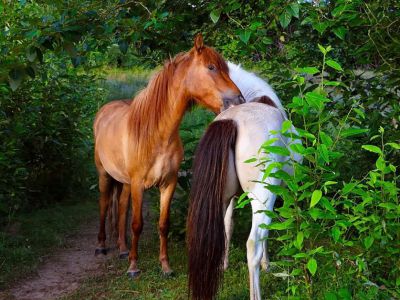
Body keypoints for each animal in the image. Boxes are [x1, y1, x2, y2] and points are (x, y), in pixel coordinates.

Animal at [94, 34, 244, 276]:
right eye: (211, 67)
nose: (238, 101)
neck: (157, 135)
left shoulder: (168, 183)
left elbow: (163, 224)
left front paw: (165, 266)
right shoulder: (138, 184)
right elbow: (137, 224)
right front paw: (134, 267)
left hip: (124, 182)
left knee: (122, 208)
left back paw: (123, 249)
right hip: (104, 176)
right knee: (104, 205)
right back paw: (102, 247)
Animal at [186, 62, 302, 298]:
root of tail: (232, 121)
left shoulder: (230, 197)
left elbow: (228, 225)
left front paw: (224, 264)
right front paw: (267, 265)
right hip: (263, 196)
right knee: (253, 244)